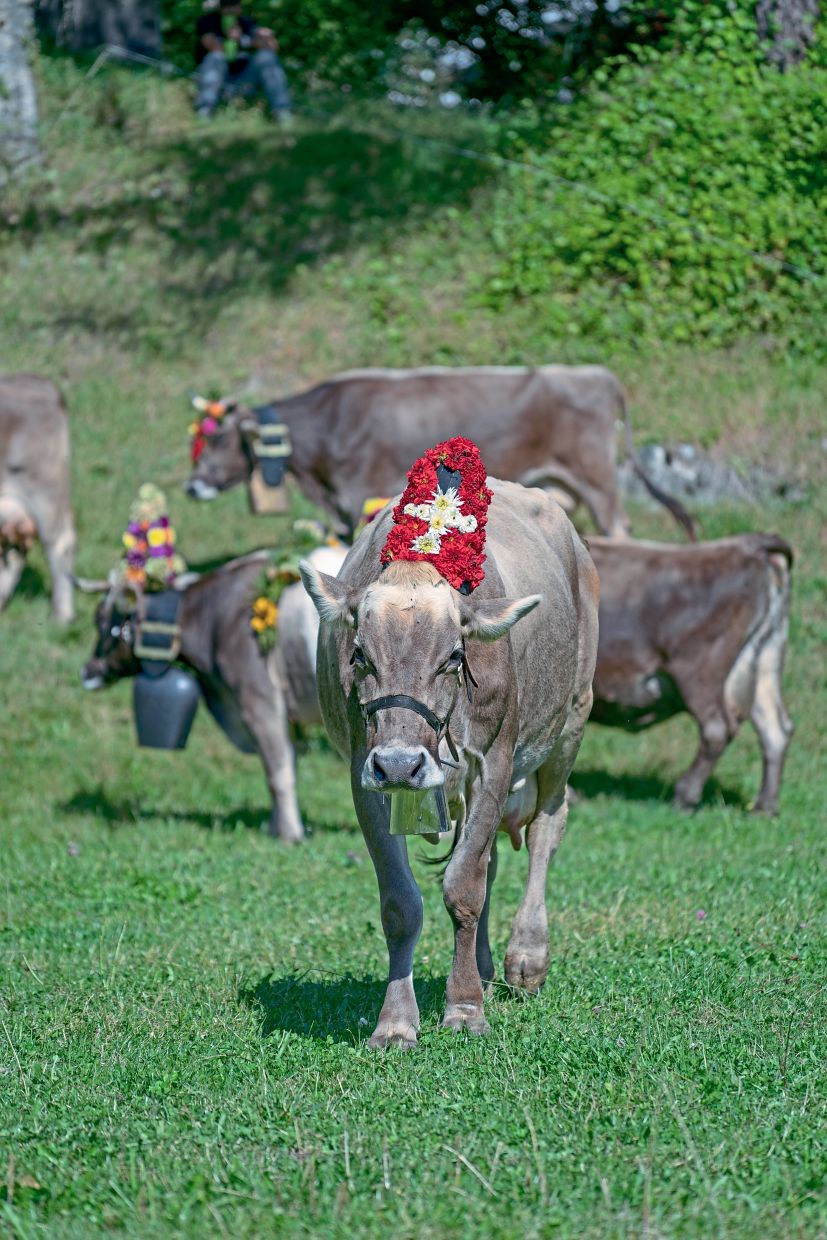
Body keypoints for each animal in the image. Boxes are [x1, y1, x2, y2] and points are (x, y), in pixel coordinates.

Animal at [80, 543, 347, 841]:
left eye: (103, 619)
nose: (87, 671)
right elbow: (287, 765)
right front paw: (275, 828)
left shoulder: (260, 703)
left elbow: (278, 774)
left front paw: (290, 835)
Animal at [185, 366, 694, 540]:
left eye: (217, 440)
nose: (193, 487)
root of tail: (597, 374)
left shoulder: (362, 494)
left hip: (597, 476)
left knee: (619, 527)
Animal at [300, 479, 600, 1048]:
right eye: (359, 655)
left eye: (454, 658)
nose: (400, 765)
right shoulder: (363, 771)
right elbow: (402, 903)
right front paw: (396, 1021)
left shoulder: (495, 763)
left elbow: (463, 887)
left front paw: (464, 1008)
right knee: (488, 857)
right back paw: (482, 964)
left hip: (571, 722)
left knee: (546, 829)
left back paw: (526, 956)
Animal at [587, 533, 794, 814]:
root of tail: (747, 546)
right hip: (763, 663)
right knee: (775, 730)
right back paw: (764, 807)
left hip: (698, 673)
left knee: (716, 730)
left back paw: (684, 797)